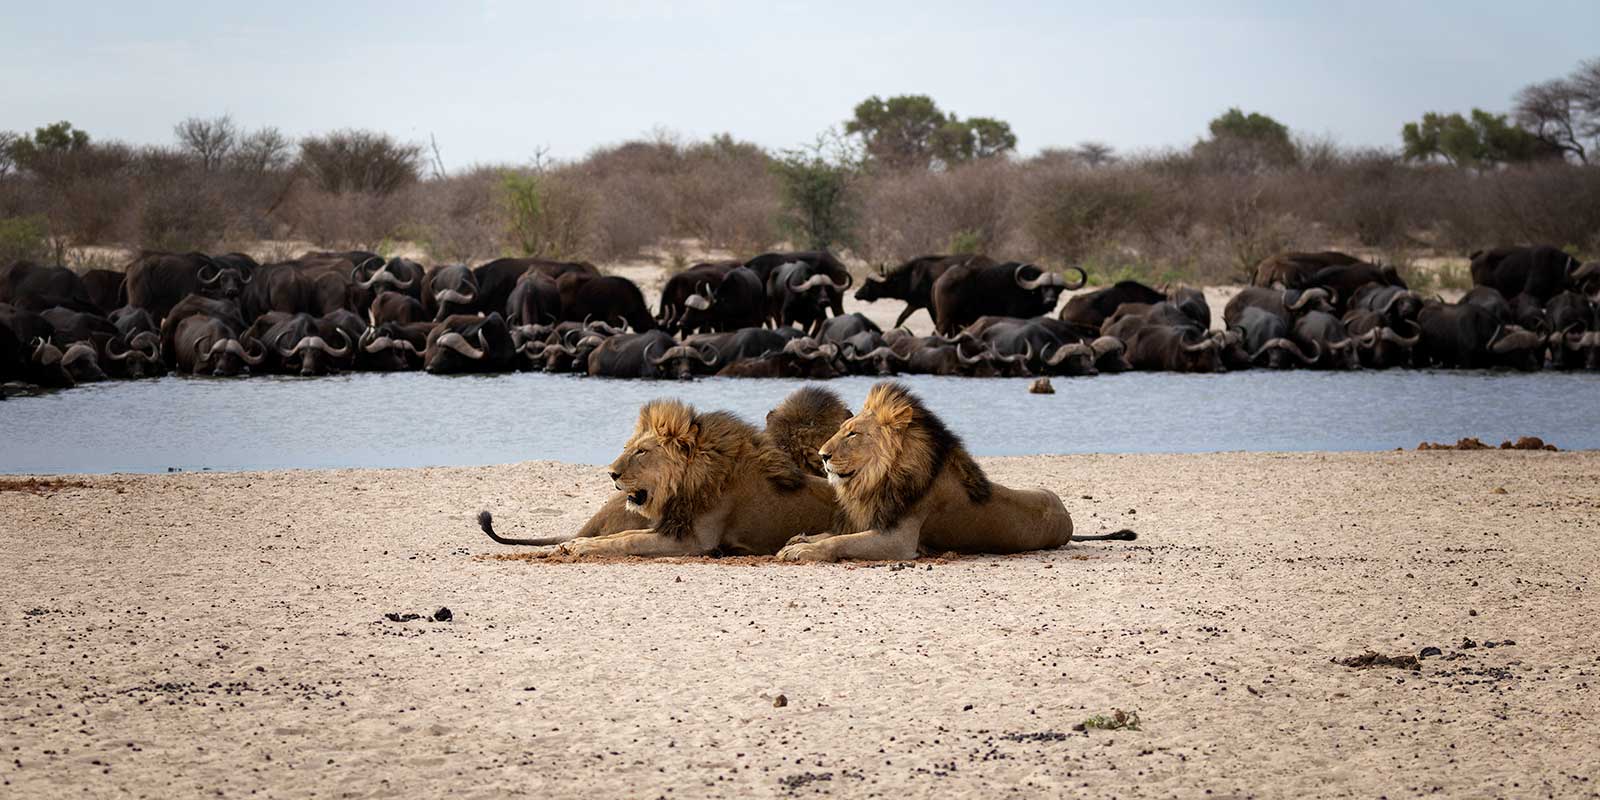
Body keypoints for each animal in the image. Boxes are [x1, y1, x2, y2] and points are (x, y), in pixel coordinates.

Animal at [480, 387, 849, 548]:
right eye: (629, 448)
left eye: (642, 452)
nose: (611, 473)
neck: (687, 485)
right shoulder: (669, 526)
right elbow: (626, 535)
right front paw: (579, 546)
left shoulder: (693, 543)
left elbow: (625, 543)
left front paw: (582, 547)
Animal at [775, 381, 1133, 562]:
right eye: (842, 429)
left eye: (853, 434)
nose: (822, 455)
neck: (878, 479)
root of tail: (1068, 518)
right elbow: (832, 534)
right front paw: (800, 539)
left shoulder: (899, 540)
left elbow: (840, 542)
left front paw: (803, 550)